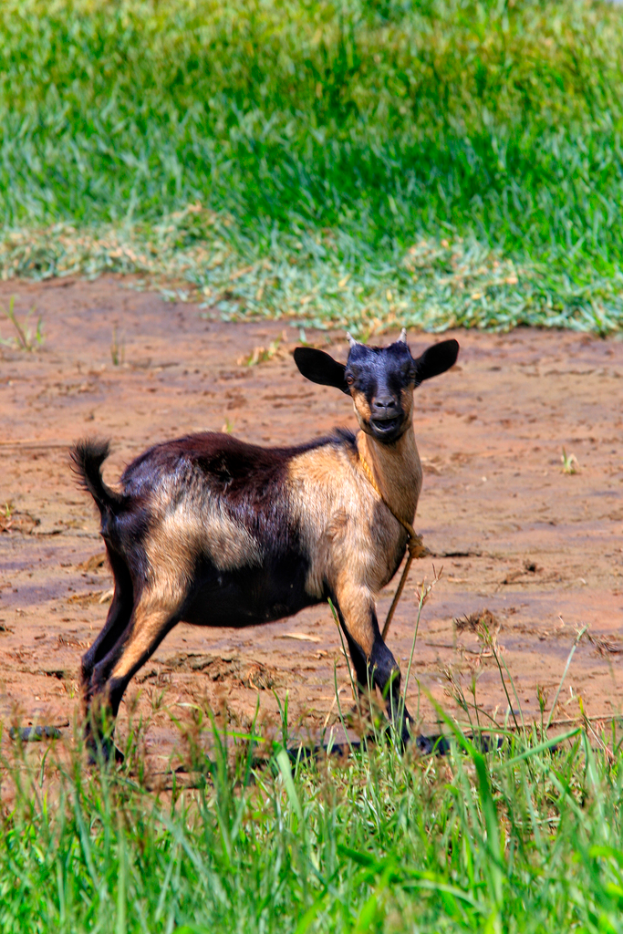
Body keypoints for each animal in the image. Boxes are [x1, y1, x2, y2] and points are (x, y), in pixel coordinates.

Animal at [71, 331, 459, 759]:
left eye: (409, 374)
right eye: (351, 379)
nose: (385, 407)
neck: (367, 478)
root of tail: (120, 496)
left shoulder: (343, 592)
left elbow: (363, 669)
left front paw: (380, 738)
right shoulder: (354, 584)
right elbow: (386, 666)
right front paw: (414, 741)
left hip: (127, 585)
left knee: (89, 661)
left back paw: (96, 752)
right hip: (165, 589)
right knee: (109, 672)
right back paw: (107, 759)